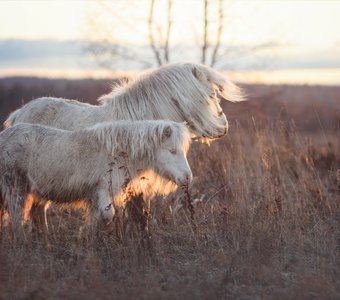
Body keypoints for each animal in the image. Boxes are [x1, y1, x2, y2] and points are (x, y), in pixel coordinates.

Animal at [0, 119, 191, 237]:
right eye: (172, 150)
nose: (188, 178)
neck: (118, 154)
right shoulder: (102, 190)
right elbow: (107, 215)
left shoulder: (94, 196)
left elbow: (95, 218)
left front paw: (86, 239)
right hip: (16, 188)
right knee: (16, 219)